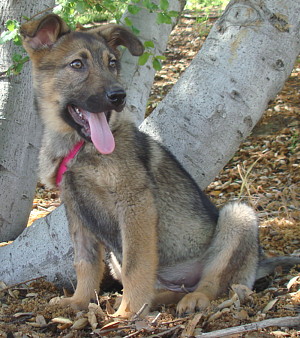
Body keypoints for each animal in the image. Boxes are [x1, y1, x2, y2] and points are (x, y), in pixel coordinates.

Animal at [20, 14, 298, 318]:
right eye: (77, 64)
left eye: (112, 63)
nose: (119, 96)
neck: (78, 146)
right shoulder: (76, 211)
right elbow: (85, 263)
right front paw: (79, 302)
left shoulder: (134, 203)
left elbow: (136, 264)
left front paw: (127, 312)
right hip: (121, 257)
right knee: (166, 288)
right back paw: (156, 300)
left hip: (238, 216)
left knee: (213, 283)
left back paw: (192, 299)